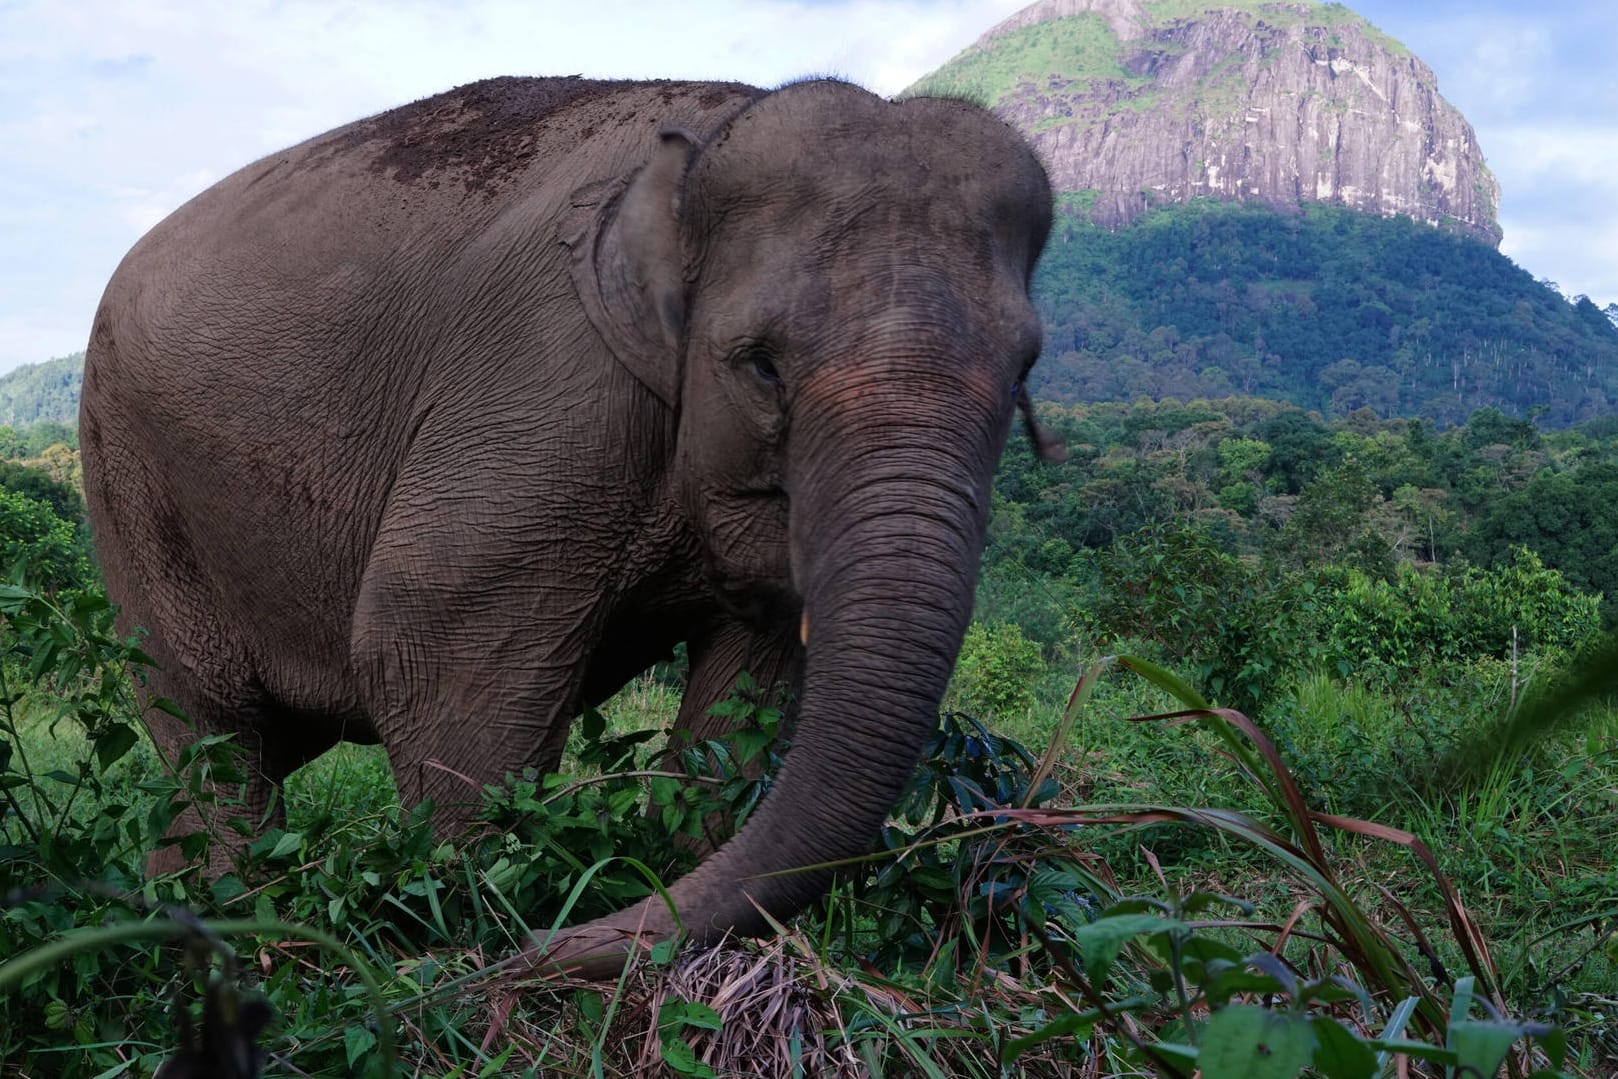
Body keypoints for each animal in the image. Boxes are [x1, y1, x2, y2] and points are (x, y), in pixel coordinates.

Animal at [82, 71, 1054, 977]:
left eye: (1024, 371)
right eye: (764, 366)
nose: (551, 942)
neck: (711, 140)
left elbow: (755, 684)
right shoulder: (549, 379)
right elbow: (427, 640)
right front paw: (468, 929)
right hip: (127, 481)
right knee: (215, 738)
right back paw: (223, 933)